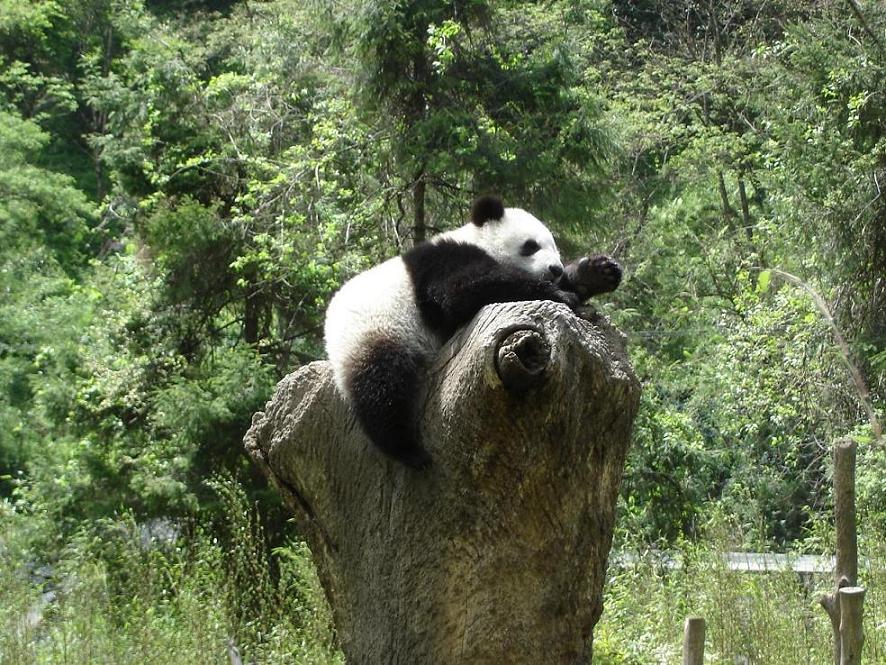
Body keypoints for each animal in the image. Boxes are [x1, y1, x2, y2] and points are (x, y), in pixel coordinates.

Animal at [322, 195, 620, 470]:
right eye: (531, 245)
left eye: (555, 248)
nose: (555, 269)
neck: (478, 240)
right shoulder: (443, 261)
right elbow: (464, 290)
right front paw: (560, 294)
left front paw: (596, 273)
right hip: (377, 333)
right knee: (382, 387)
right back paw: (408, 450)